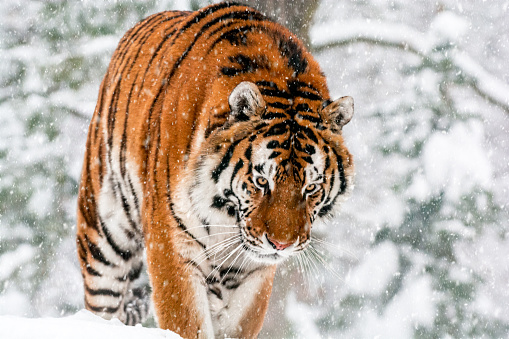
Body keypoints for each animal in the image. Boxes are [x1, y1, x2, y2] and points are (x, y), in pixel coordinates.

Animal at [76, 1, 354, 338]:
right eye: (261, 181)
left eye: (311, 188)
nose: (281, 245)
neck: (226, 216)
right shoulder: (171, 246)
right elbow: (186, 322)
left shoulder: (255, 272)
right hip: (103, 234)